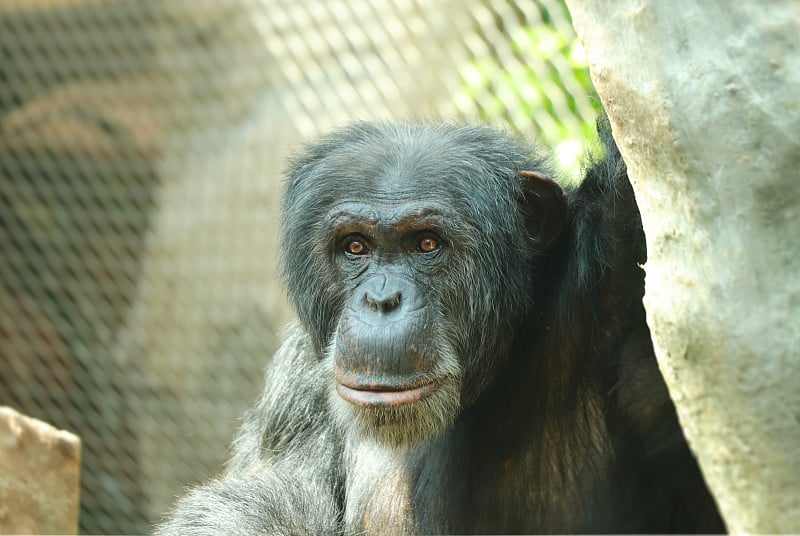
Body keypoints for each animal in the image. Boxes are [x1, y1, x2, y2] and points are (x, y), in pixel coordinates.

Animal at [155, 119, 724, 532]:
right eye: (355, 246)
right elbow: (264, 495)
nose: (382, 299)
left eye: (427, 243)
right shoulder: (297, 380)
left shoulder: (615, 278)